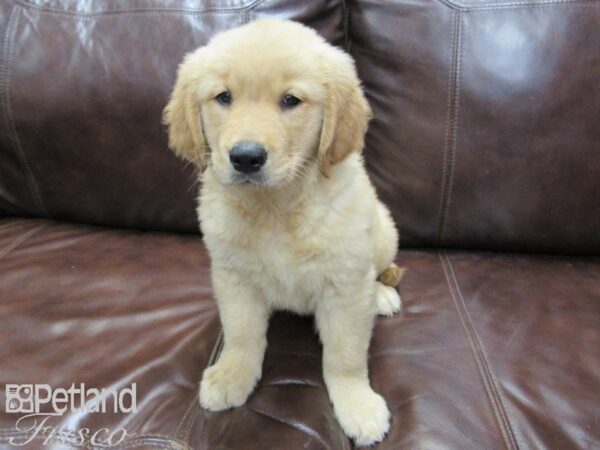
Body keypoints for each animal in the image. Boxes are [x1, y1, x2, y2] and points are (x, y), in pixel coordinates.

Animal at [164, 18, 404, 446]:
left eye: (291, 100)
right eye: (223, 97)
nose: (245, 157)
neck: (275, 208)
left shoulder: (345, 285)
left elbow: (345, 353)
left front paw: (358, 405)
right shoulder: (233, 277)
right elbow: (241, 333)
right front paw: (232, 375)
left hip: (382, 230)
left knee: (378, 269)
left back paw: (380, 294)